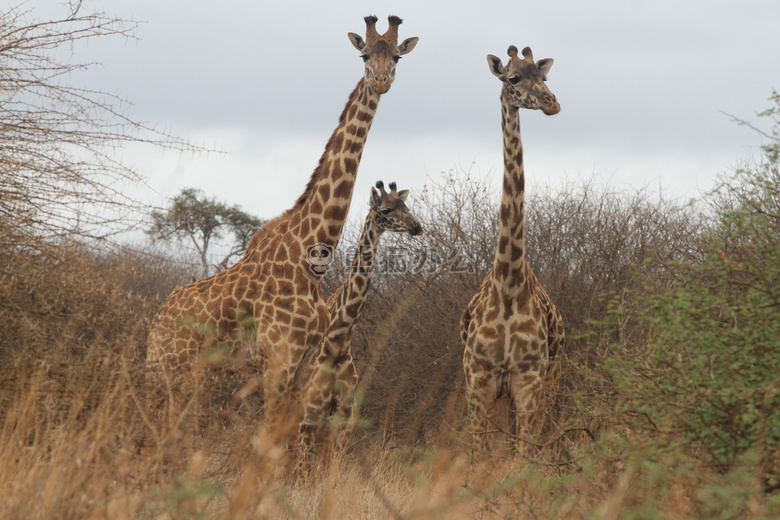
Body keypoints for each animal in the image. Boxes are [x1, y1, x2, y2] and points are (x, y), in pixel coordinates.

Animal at [144, 15, 418, 434]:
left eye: (398, 57)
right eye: (364, 55)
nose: (382, 81)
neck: (311, 255)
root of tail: (155, 324)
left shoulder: (303, 367)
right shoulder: (279, 360)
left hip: (181, 374)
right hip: (172, 369)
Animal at [292, 182, 424, 464]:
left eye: (406, 206)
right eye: (385, 209)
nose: (416, 226)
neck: (338, 342)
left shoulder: (343, 419)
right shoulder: (308, 417)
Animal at [460, 46, 564, 458]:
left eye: (545, 77)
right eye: (513, 78)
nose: (553, 103)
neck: (508, 285)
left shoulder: (529, 381)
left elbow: (522, 459)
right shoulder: (479, 380)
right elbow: (479, 458)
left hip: (551, 380)